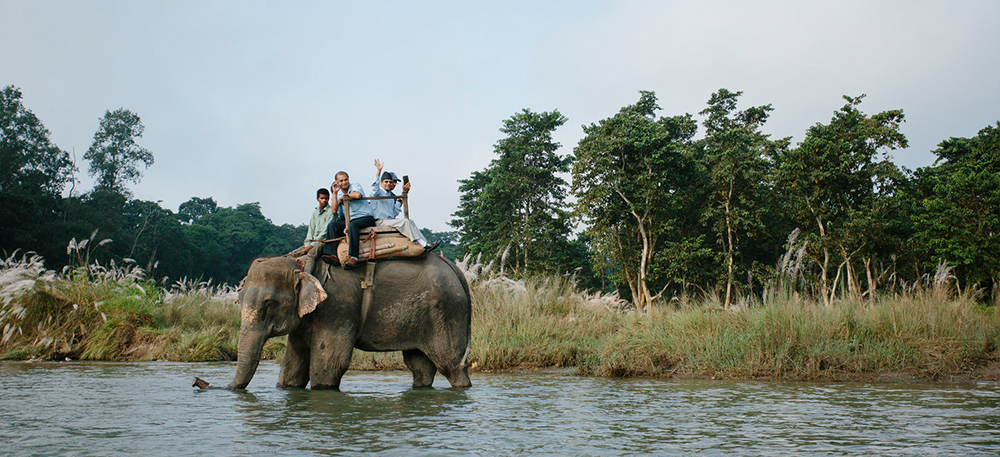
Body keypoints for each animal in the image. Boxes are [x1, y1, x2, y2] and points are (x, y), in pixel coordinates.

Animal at [202, 255, 472, 390]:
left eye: (268, 304)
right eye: (238, 300)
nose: (200, 383)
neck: (304, 266)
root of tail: (456, 270)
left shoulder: (337, 307)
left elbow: (329, 364)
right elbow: (292, 366)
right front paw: (287, 387)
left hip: (447, 313)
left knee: (450, 363)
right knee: (419, 365)